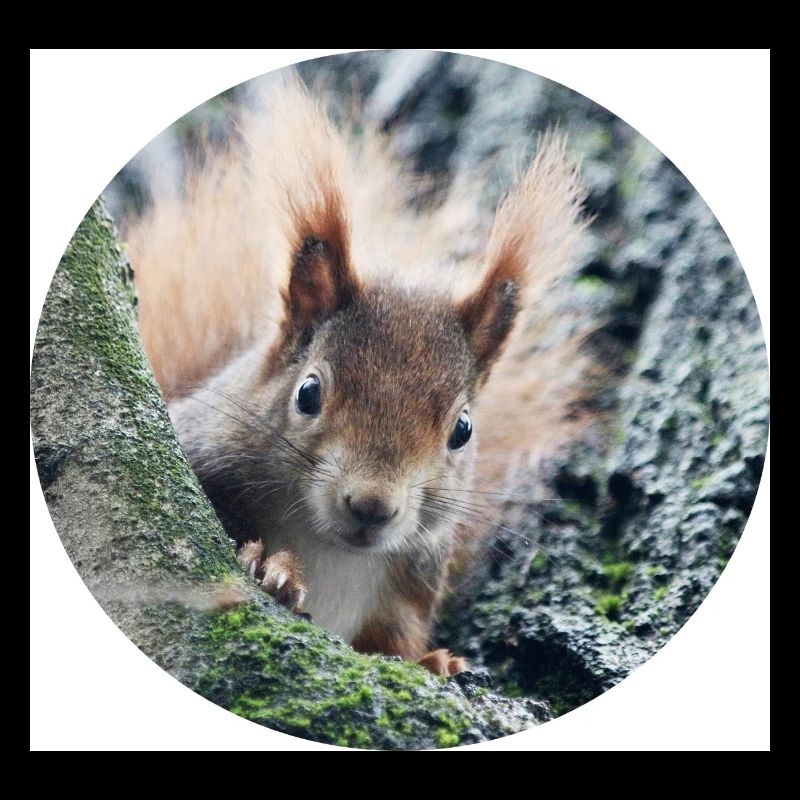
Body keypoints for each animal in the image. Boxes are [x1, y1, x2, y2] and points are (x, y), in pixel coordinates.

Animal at [123, 75, 586, 676]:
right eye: (308, 393)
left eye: (462, 430)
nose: (372, 506)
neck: (332, 552)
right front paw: (273, 567)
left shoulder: (406, 592)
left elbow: (396, 643)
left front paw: (435, 662)